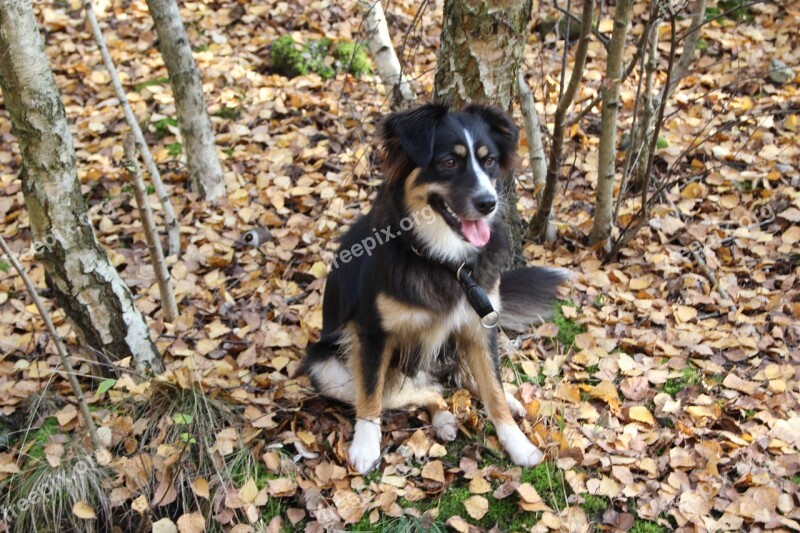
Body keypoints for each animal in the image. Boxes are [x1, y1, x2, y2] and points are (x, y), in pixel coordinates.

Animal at [300, 102, 568, 472]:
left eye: (488, 161)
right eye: (449, 162)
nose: (489, 203)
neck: (443, 259)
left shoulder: (480, 325)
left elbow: (494, 389)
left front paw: (517, 442)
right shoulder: (371, 332)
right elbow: (370, 394)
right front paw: (365, 446)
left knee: (462, 380)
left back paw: (507, 402)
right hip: (328, 368)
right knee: (425, 392)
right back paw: (442, 419)